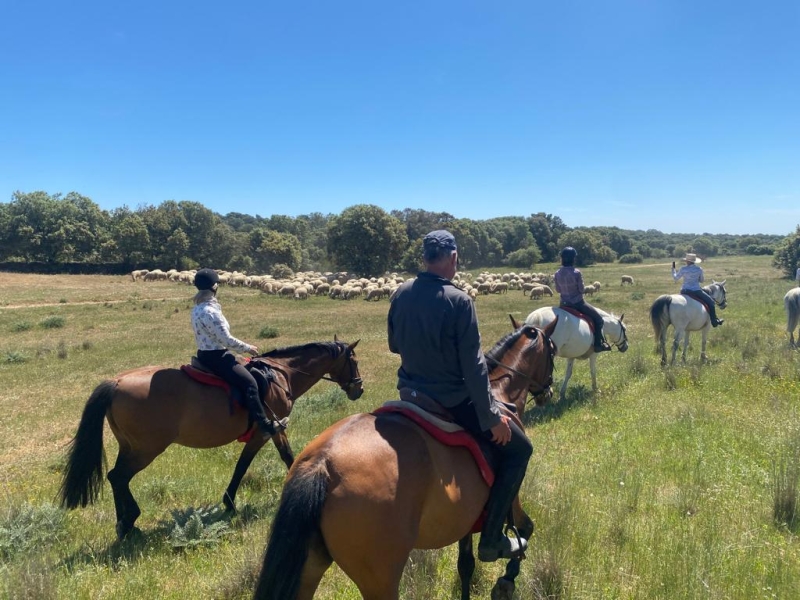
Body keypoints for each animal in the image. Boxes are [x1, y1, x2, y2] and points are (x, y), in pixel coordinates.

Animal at [57, 338, 364, 540]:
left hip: (130, 447)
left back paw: (124, 525)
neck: (280, 375)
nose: (358, 389)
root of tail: (117, 382)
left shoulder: (268, 433)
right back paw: (129, 520)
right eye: (354, 361)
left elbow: (257, 462)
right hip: (146, 450)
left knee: (115, 477)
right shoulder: (269, 430)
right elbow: (264, 461)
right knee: (119, 477)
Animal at [253, 322, 560, 600]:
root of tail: (322, 462)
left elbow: (466, 566)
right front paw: (505, 583)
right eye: (553, 351)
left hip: (309, 567)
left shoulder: (467, 519)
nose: (547, 392)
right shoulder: (511, 500)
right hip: (380, 580)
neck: (499, 396)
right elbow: (525, 532)